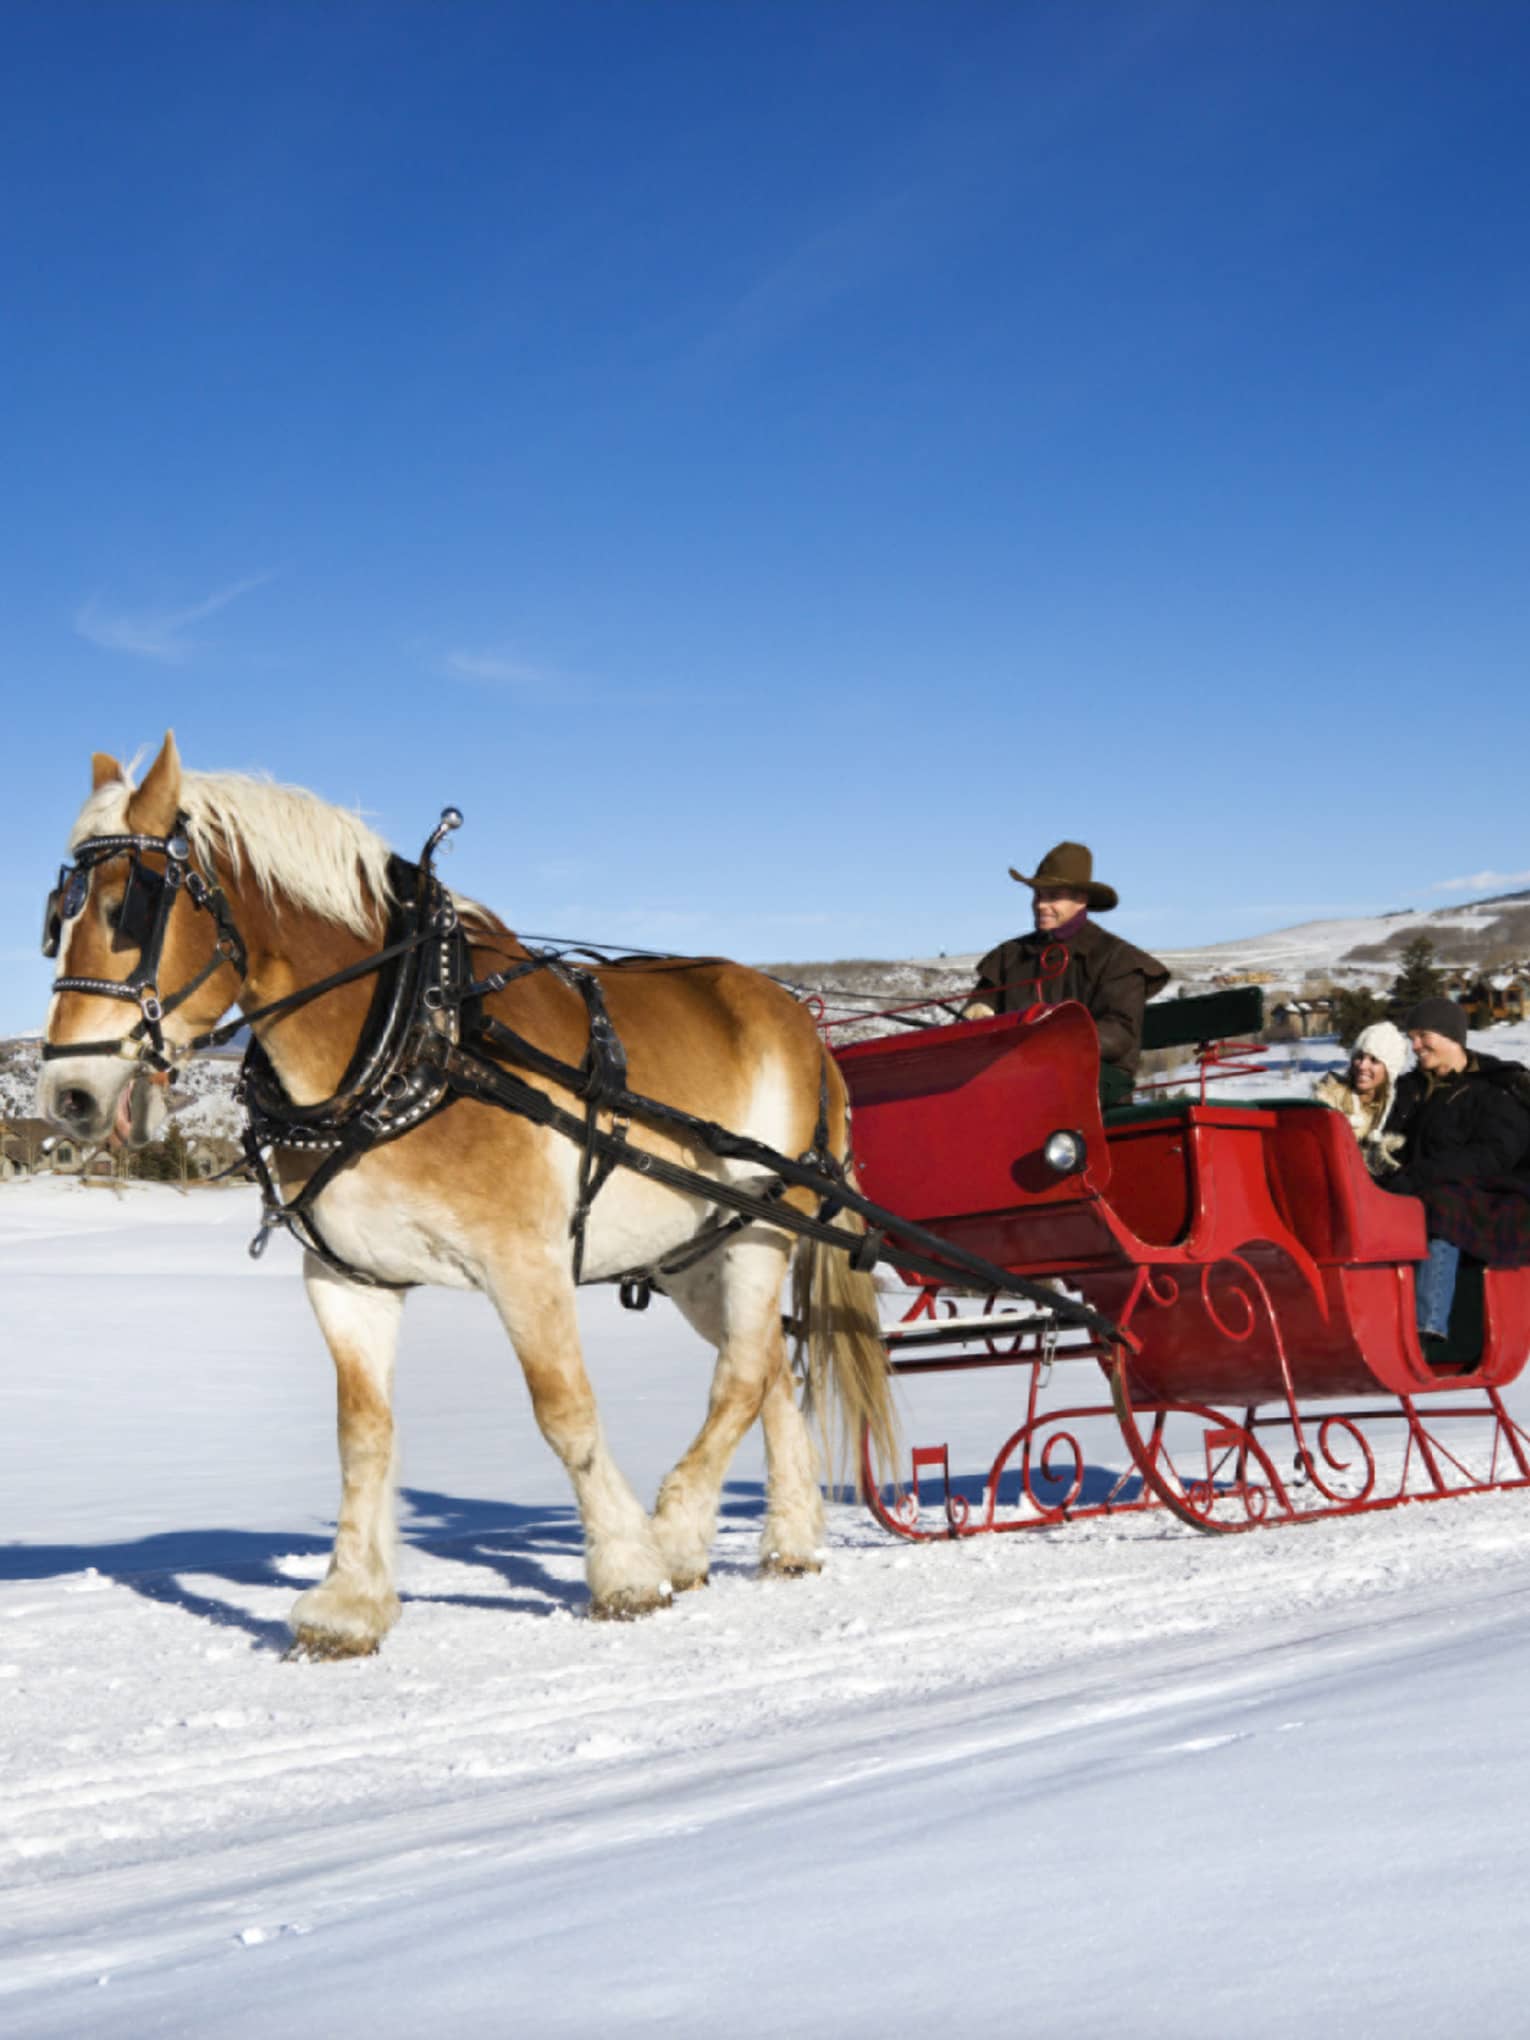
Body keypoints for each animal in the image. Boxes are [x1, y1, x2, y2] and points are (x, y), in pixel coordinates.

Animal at [38, 734, 896, 1656]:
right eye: (57, 918)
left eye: (128, 908)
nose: (69, 1096)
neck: (411, 1036)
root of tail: (800, 1021)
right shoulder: (348, 1279)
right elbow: (362, 1434)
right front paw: (349, 1603)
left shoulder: (525, 1262)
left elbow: (565, 1411)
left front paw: (628, 1569)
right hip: (692, 1256)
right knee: (766, 1365)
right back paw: (789, 1537)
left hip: (760, 1232)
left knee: (739, 1375)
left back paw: (676, 1533)